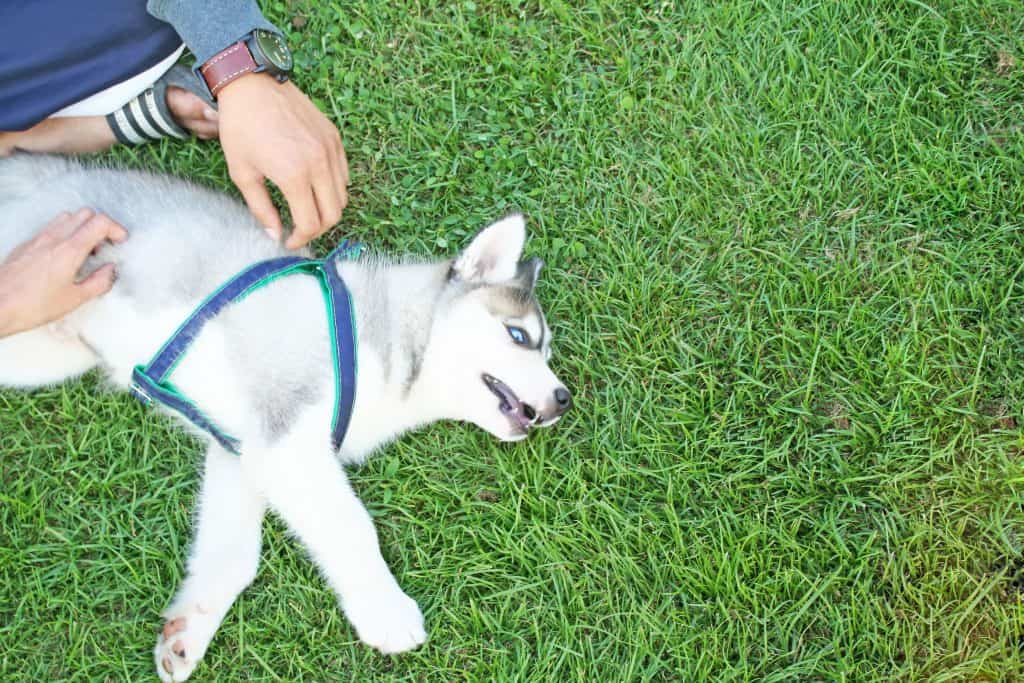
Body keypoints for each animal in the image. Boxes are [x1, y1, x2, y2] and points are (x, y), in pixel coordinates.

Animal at [0, 156, 569, 683]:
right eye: (519, 336)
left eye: (545, 351)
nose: (563, 399)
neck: (382, 337)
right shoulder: (287, 433)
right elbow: (351, 526)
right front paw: (385, 612)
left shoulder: (242, 450)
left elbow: (235, 553)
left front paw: (189, 628)